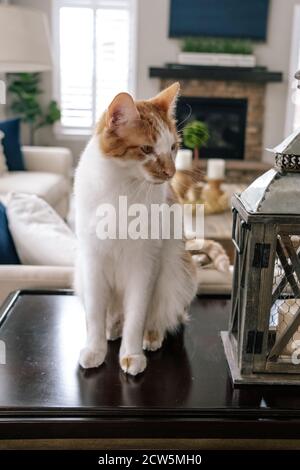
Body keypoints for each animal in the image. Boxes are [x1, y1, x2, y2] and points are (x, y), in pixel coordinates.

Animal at [74, 82, 198, 376]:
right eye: (146, 149)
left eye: (173, 147)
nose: (171, 172)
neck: (122, 187)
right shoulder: (92, 261)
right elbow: (94, 314)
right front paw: (95, 349)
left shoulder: (144, 264)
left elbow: (137, 316)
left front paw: (131, 354)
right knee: (115, 315)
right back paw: (112, 328)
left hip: (178, 273)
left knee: (161, 315)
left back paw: (151, 336)